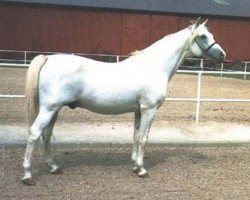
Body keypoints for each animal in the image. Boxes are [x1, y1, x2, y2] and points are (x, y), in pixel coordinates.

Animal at [21, 18, 225, 185]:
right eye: (203, 36)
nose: (222, 54)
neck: (154, 67)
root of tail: (48, 59)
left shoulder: (138, 110)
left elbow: (135, 136)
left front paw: (134, 165)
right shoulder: (150, 110)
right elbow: (144, 138)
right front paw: (142, 170)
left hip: (54, 110)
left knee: (46, 135)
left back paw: (54, 167)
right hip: (49, 109)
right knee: (34, 133)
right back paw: (28, 175)